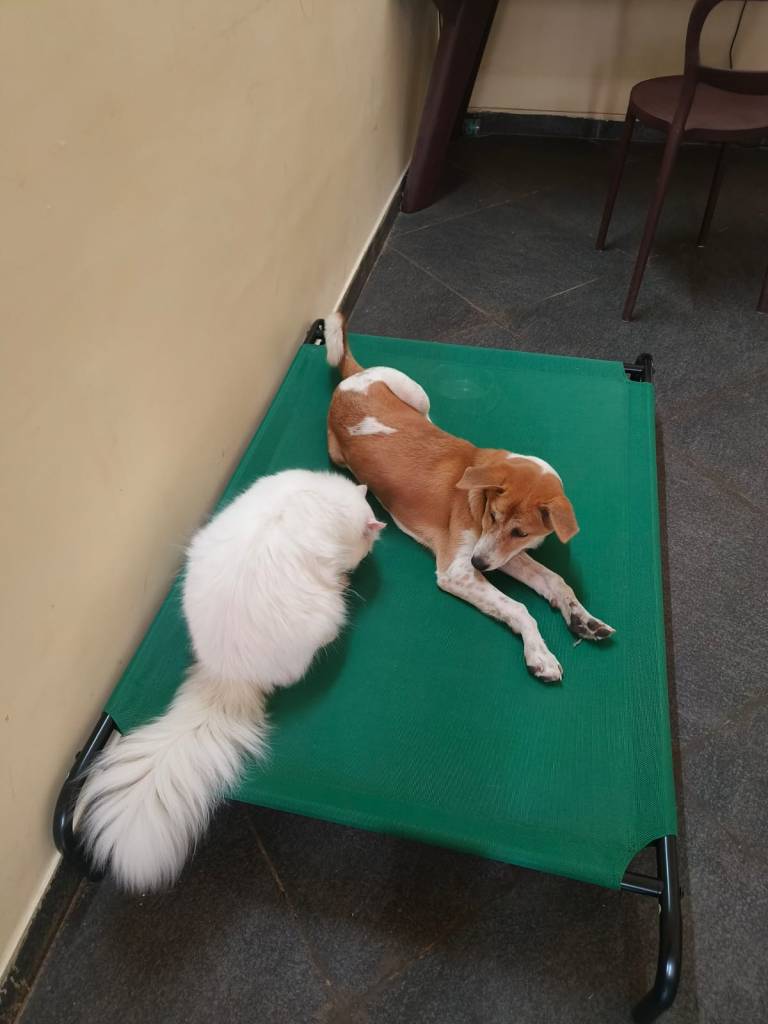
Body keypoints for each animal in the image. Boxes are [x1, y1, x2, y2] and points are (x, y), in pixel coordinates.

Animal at [324, 313, 615, 682]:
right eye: (492, 515)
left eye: (521, 532)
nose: (479, 564)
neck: (478, 497)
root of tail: (353, 377)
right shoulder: (458, 569)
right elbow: (519, 607)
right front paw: (540, 653)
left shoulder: (500, 552)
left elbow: (555, 580)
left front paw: (583, 618)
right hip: (393, 402)